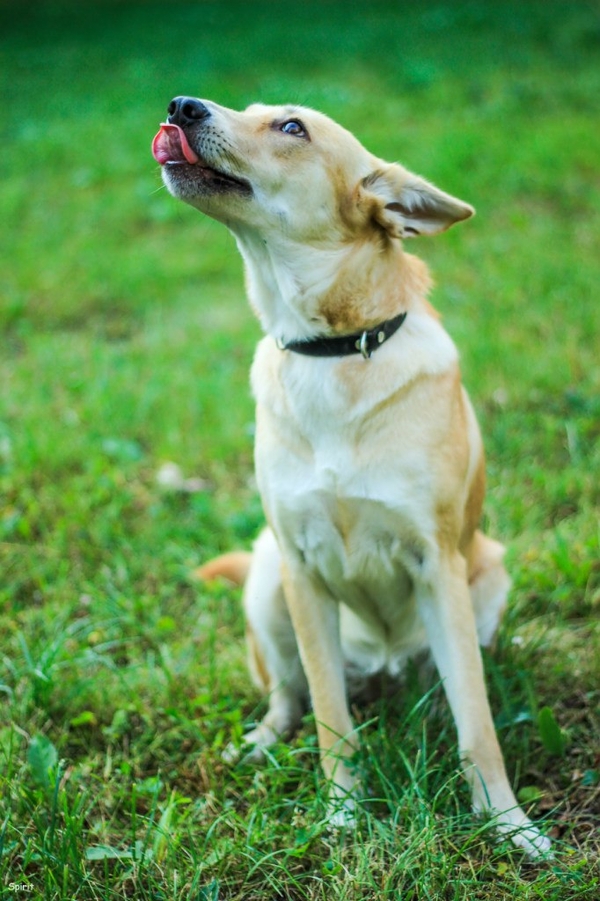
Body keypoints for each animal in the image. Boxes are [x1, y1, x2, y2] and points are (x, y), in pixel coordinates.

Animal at [152, 98, 552, 856]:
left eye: (290, 128)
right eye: (248, 109)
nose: (181, 107)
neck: (334, 350)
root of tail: (384, 664)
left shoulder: (438, 565)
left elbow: (477, 724)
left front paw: (508, 823)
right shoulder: (303, 571)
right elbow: (330, 718)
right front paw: (341, 812)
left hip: (486, 579)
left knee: (451, 683)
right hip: (266, 580)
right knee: (288, 693)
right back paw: (260, 741)